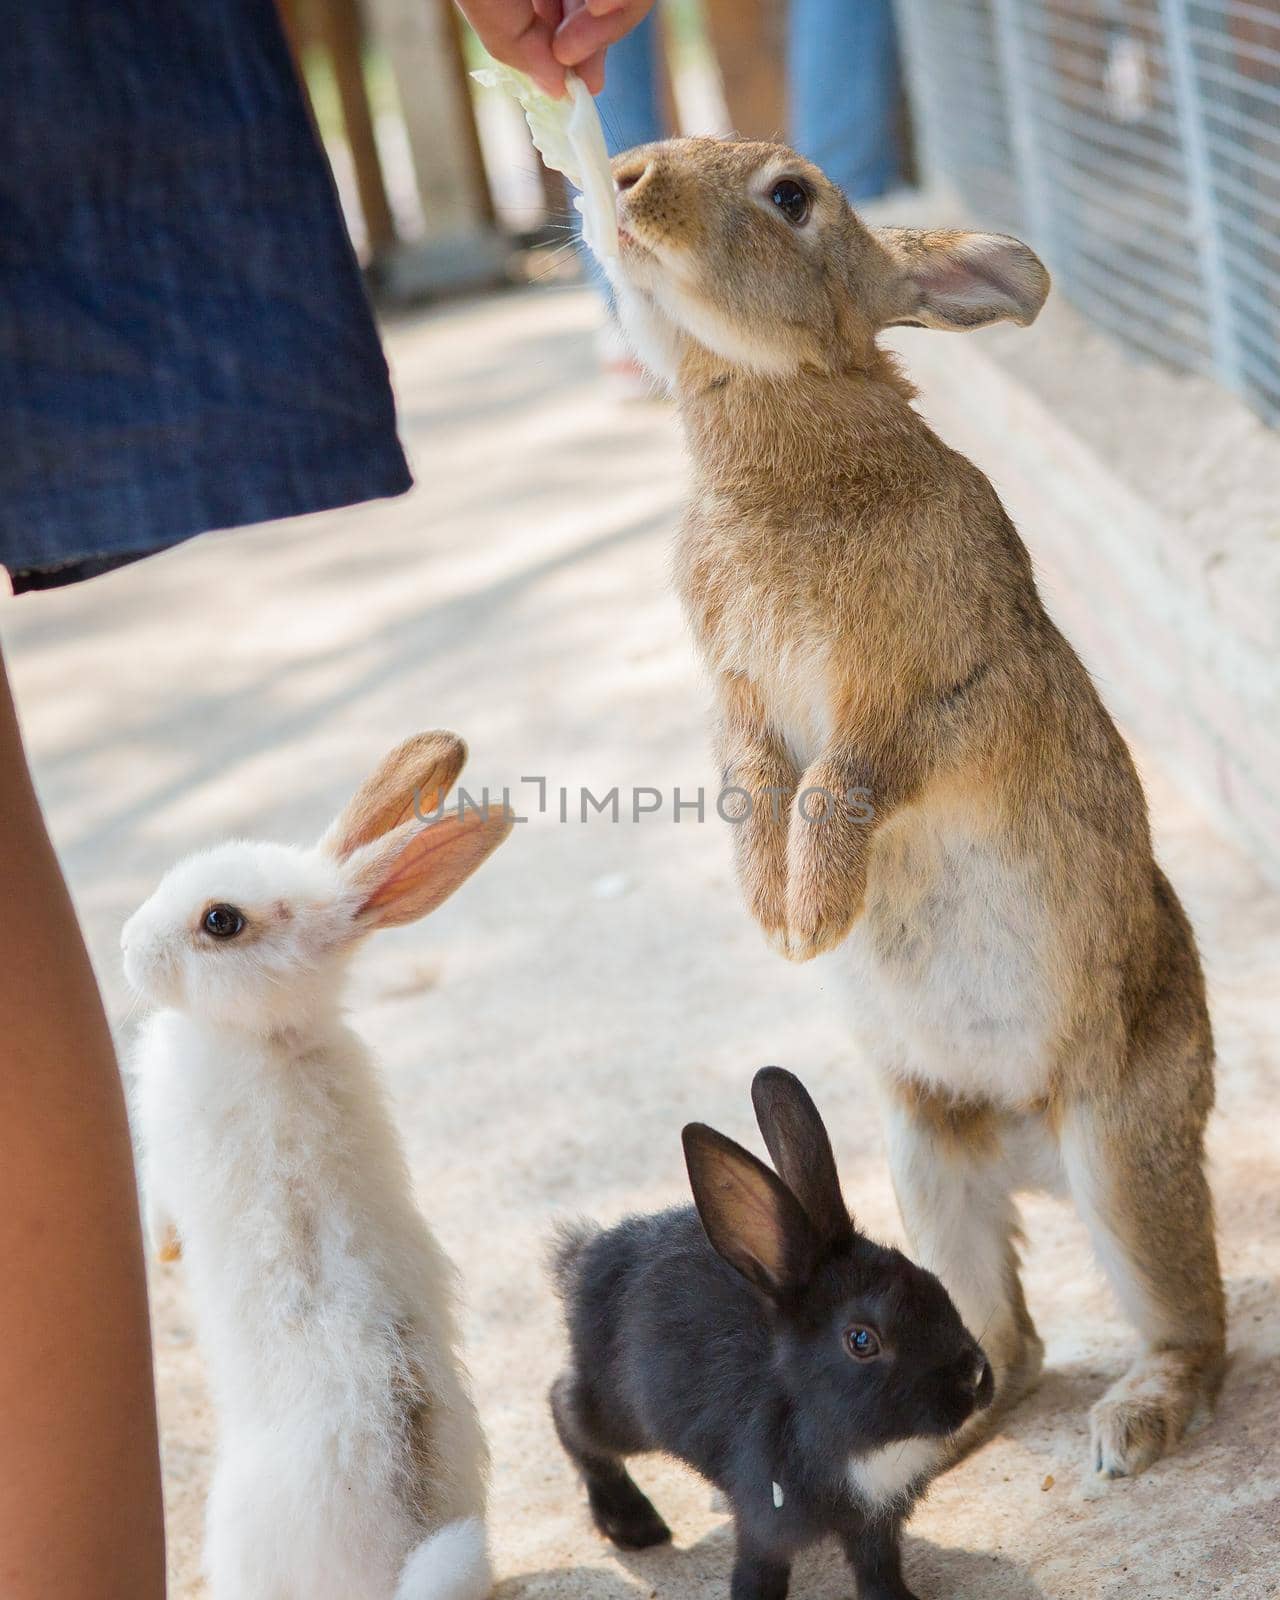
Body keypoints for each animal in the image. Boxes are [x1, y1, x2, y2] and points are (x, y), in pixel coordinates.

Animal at [124, 732, 508, 1600]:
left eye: (221, 921)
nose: (127, 946)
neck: (270, 1037)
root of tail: (397, 1568)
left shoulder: (165, 1155)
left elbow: (157, 1203)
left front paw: (162, 1251)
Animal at [544, 1062, 992, 1600]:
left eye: (931, 1282)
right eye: (861, 1340)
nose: (974, 1378)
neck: (854, 1441)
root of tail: (581, 1260)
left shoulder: (876, 1524)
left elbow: (879, 1569)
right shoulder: (766, 1527)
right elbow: (759, 1577)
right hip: (623, 1412)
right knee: (567, 1410)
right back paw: (633, 1525)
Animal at [611, 137, 1228, 1472]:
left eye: (791, 196)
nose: (621, 177)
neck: (780, 443)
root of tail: (1030, 1153)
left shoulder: (942, 695)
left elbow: (839, 781)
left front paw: (809, 913)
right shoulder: (740, 705)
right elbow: (752, 780)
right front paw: (777, 914)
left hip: (1119, 1147)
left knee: (1186, 1322)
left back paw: (1131, 1423)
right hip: (919, 1163)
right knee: (1004, 1341)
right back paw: (931, 1440)